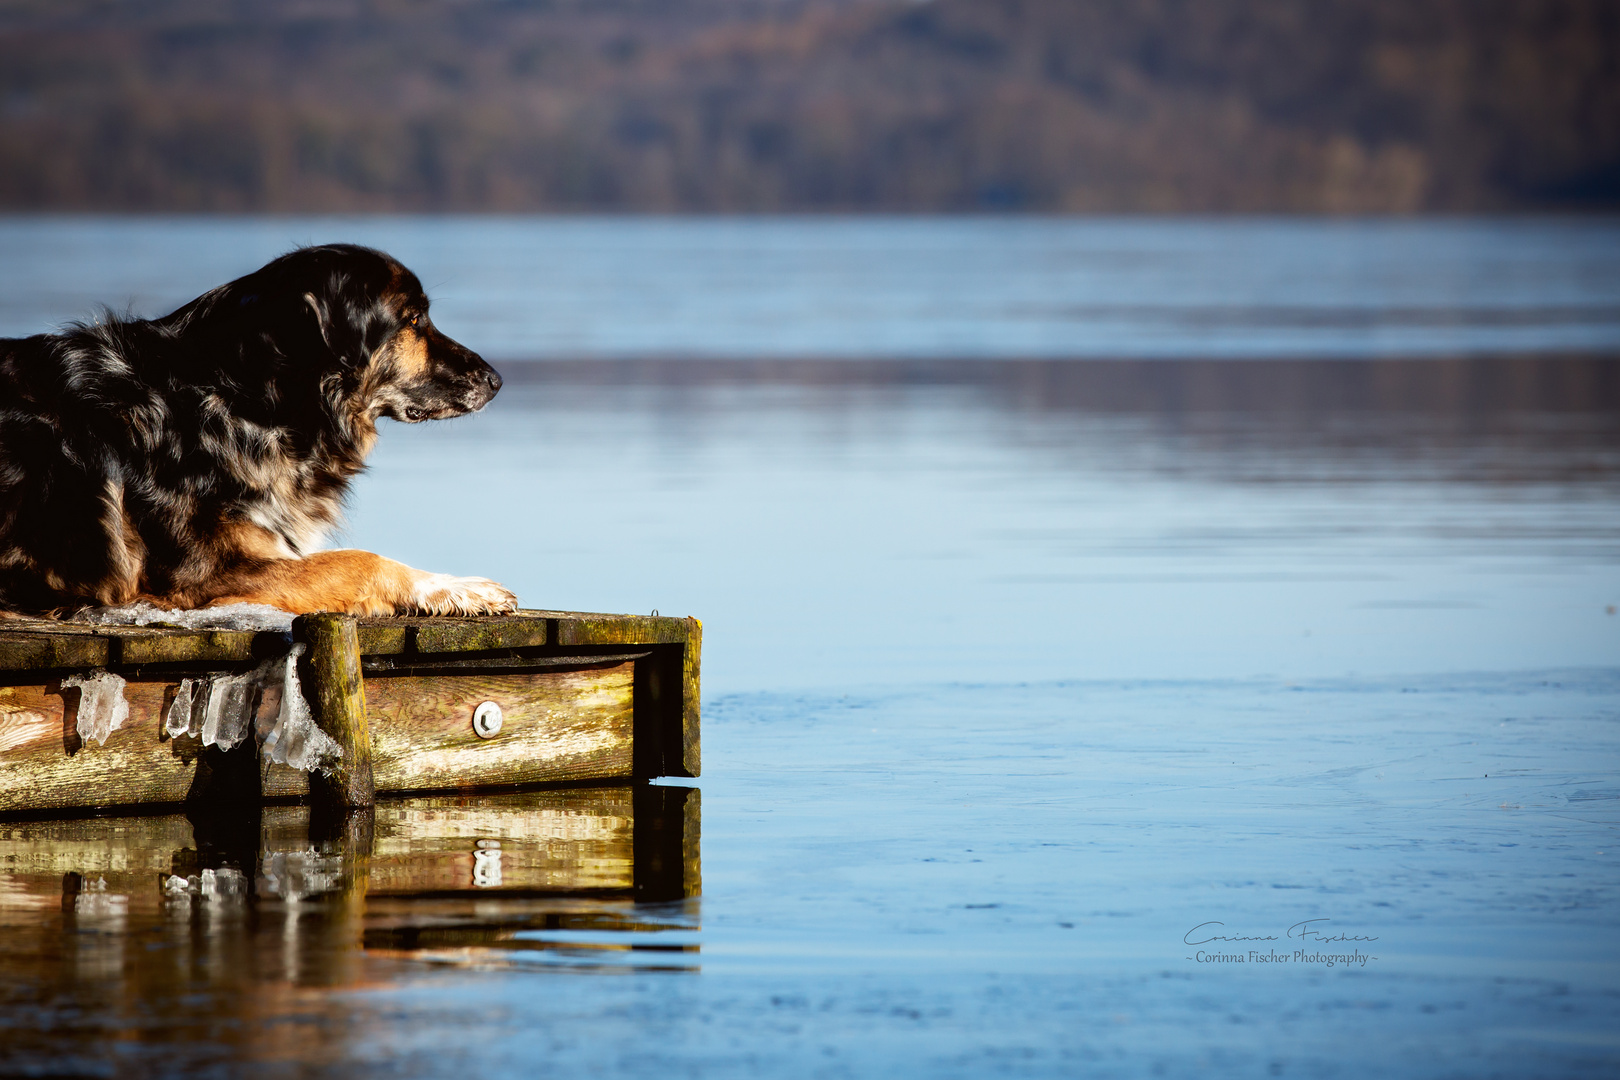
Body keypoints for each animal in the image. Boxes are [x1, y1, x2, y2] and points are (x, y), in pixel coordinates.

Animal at [0, 242, 515, 615]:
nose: (496, 380)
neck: (243, 400)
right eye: (412, 320)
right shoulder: (202, 576)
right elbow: (360, 560)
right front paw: (457, 588)